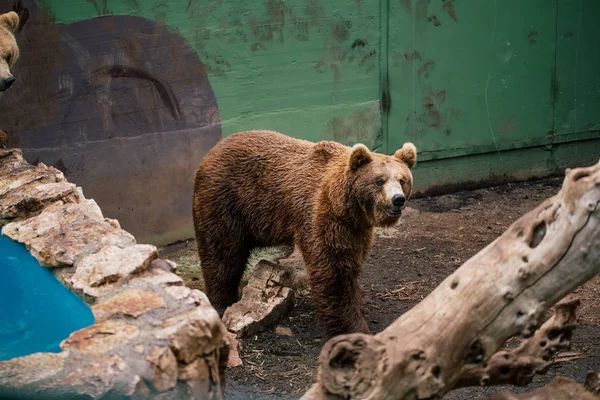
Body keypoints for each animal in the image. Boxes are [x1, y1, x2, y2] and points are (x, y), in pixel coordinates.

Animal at [193, 130, 418, 336]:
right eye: (380, 180)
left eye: (402, 180)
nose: (398, 199)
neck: (349, 208)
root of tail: (211, 152)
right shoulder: (322, 216)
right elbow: (333, 272)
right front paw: (354, 327)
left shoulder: (356, 229)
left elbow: (351, 264)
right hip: (225, 201)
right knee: (222, 254)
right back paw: (222, 302)